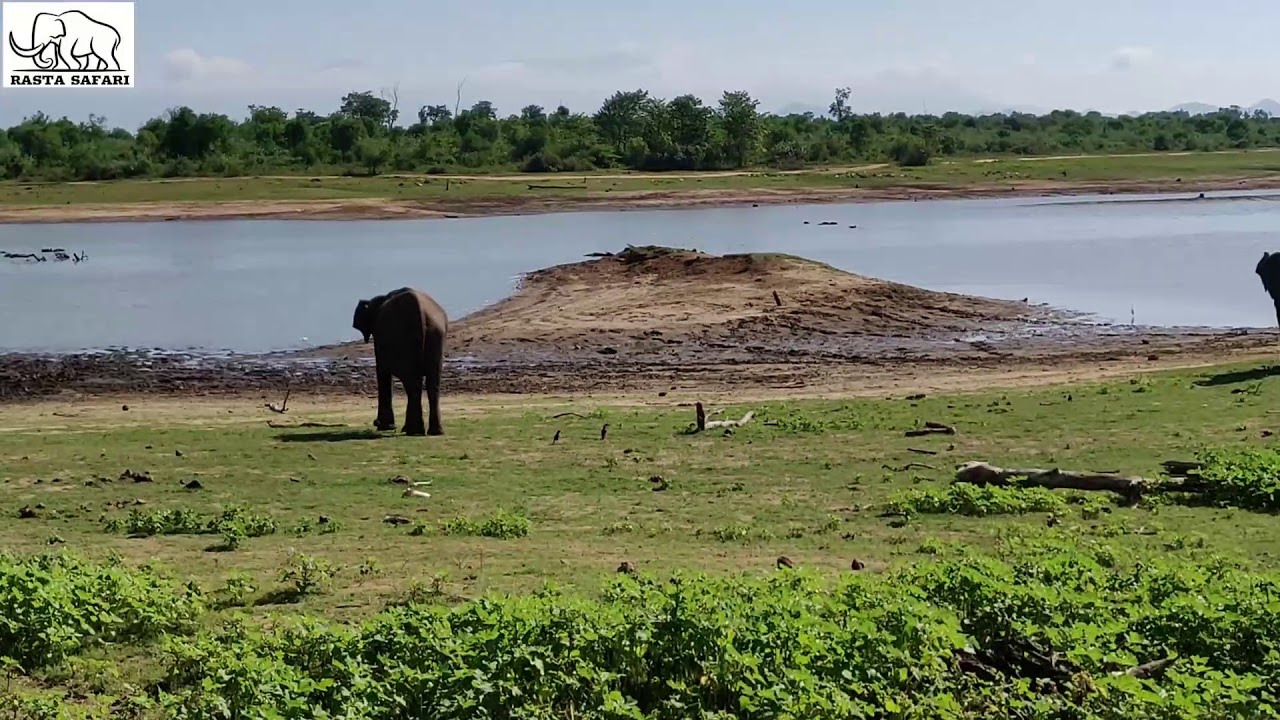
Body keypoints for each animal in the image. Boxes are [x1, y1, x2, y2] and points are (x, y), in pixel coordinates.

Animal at [352, 287, 448, 436]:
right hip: (436, 336)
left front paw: (384, 426)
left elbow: (382, 372)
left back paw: (412, 430)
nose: (375, 422)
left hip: (404, 339)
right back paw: (433, 432)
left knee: (413, 384)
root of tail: (419, 309)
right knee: (432, 383)